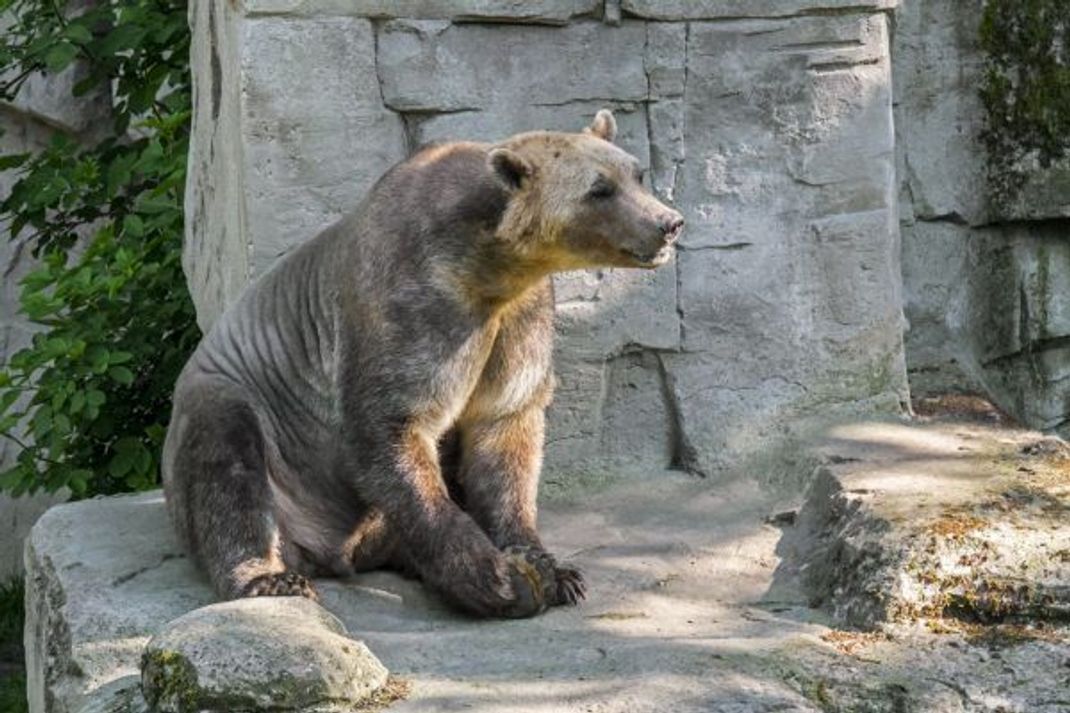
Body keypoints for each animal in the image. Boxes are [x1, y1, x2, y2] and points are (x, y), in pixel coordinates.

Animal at [162, 111, 684, 616]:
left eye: (635, 173)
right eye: (599, 189)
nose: (669, 222)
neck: (488, 265)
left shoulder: (519, 317)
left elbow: (505, 429)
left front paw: (553, 569)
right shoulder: (416, 307)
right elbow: (395, 427)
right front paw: (496, 578)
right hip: (246, 415)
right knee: (228, 465)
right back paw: (270, 576)